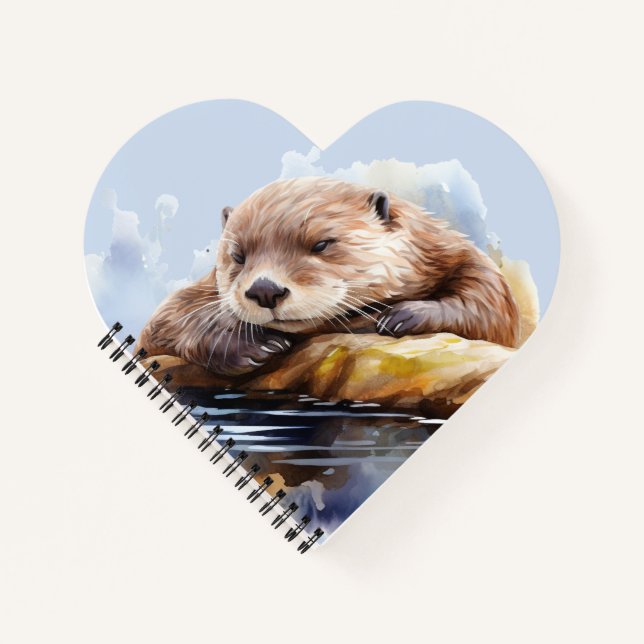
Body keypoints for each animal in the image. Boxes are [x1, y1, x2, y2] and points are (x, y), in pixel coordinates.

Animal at [138, 177, 520, 376]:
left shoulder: (451, 251)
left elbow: (493, 306)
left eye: (321, 244)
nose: (265, 290)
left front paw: (403, 316)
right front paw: (254, 347)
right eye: (238, 256)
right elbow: (164, 321)